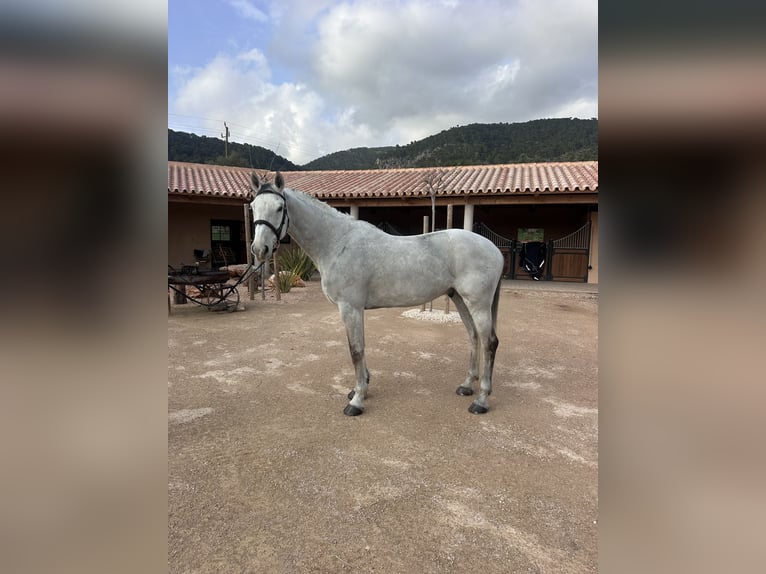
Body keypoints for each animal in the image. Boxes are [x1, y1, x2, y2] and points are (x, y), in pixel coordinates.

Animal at [249, 171, 504, 416]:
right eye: (252, 206)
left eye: (279, 208)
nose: (259, 249)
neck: (337, 243)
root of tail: (494, 249)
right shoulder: (354, 310)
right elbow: (360, 347)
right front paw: (360, 388)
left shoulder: (350, 308)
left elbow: (355, 350)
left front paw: (357, 401)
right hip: (459, 298)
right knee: (473, 336)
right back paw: (467, 385)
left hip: (477, 303)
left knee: (489, 342)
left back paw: (481, 400)